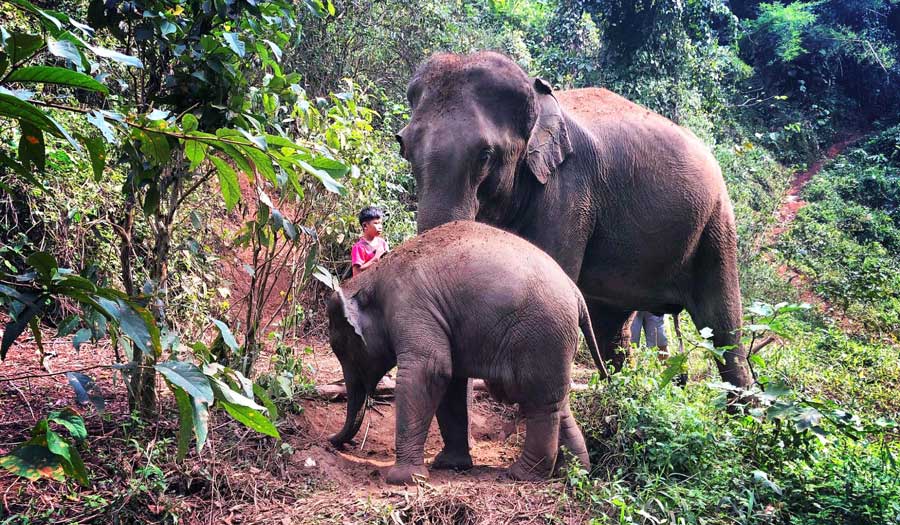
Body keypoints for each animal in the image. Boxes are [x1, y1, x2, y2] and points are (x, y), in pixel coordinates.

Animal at [326, 220, 608, 484]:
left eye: (342, 349)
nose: (332, 442)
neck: (373, 276)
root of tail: (577, 295)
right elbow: (451, 381)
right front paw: (450, 465)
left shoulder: (410, 306)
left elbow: (430, 370)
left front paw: (403, 479)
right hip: (555, 342)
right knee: (558, 402)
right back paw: (573, 472)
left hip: (541, 335)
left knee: (540, 402)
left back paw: (521, 474)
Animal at [396, 51, 753, 389]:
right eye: (405, 148)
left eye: (485, 155)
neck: (538, 98)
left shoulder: (568, 192)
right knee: (610, 329)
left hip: (716, 225)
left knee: (723, 329)